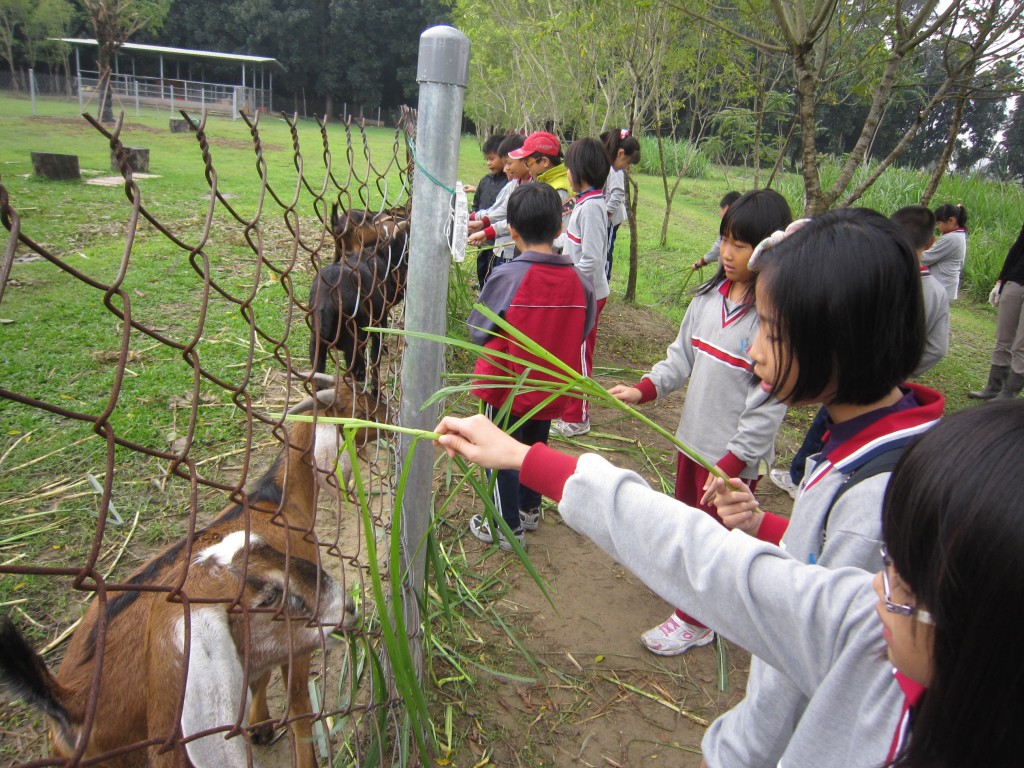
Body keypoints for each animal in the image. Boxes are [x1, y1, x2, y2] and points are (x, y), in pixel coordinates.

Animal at [0, 387, 382, 765]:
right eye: (357, 406)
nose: (385, 417)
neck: (275, 504)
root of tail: (69, 701)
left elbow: (258, 677)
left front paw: (259, 725)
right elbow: (299, 704)